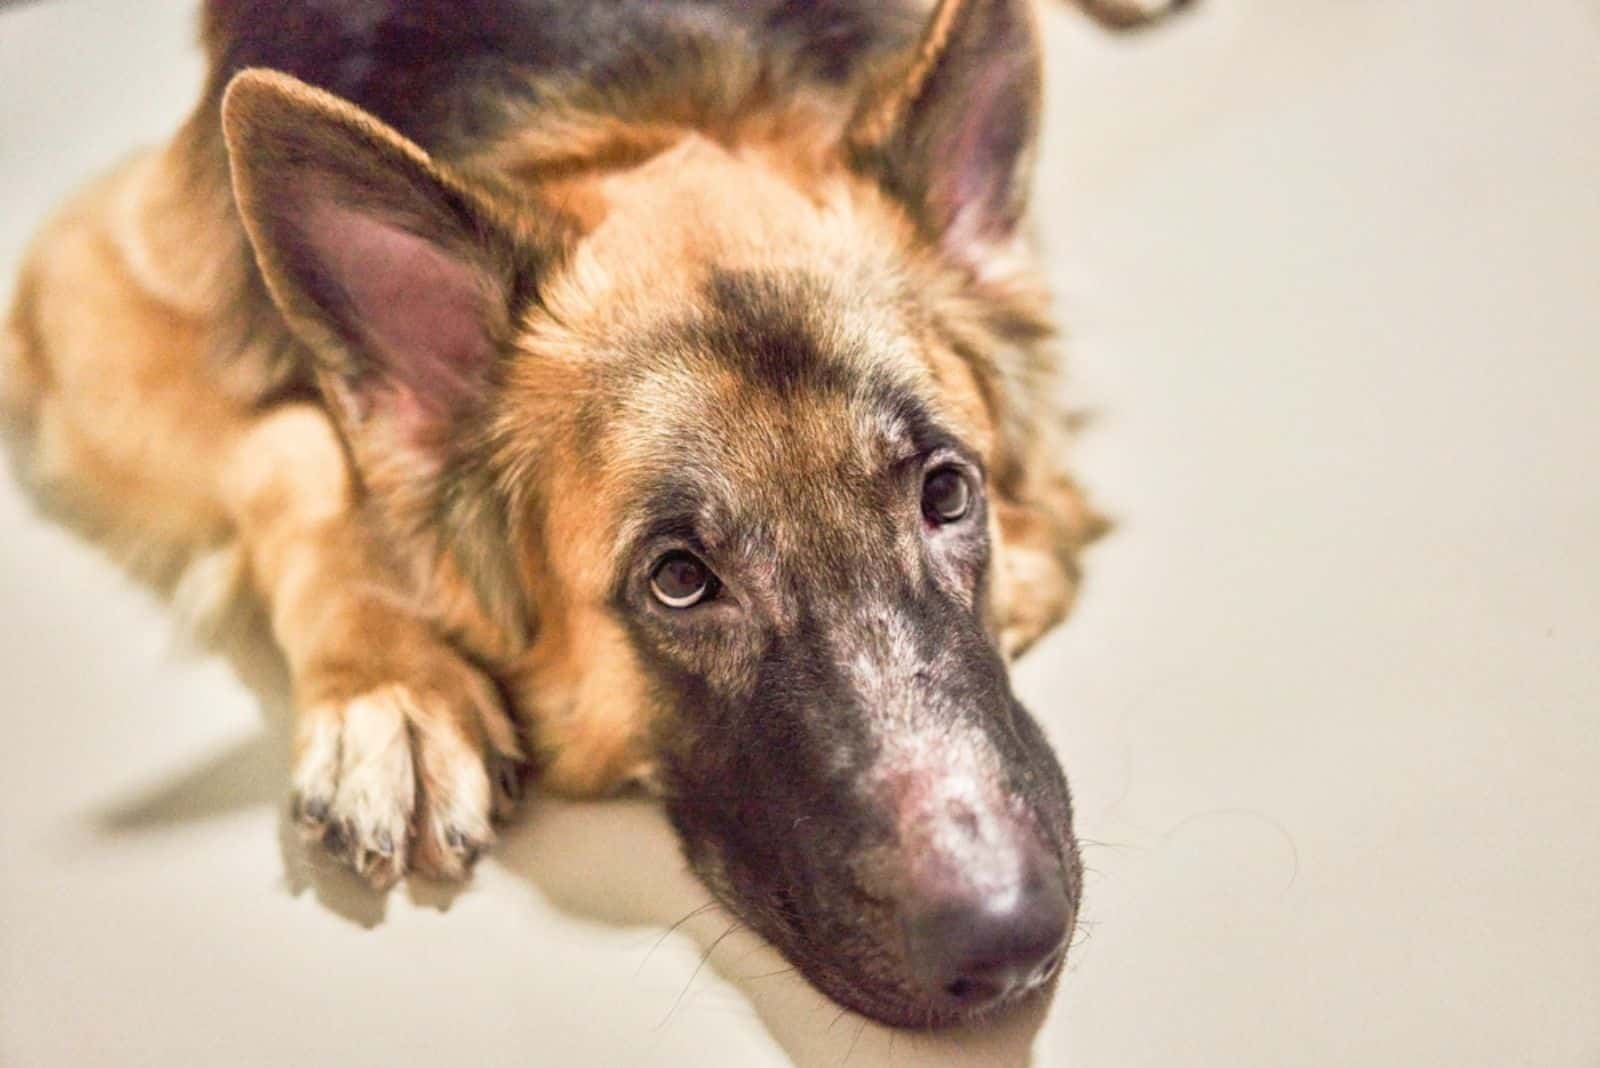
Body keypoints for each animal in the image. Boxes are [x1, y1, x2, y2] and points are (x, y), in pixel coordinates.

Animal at [6, 0, 1190, 1029]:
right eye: (679, 579)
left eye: (944, 492)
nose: (1007, 941)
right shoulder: (87, 286)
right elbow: (289, 445)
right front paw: (392, 687)